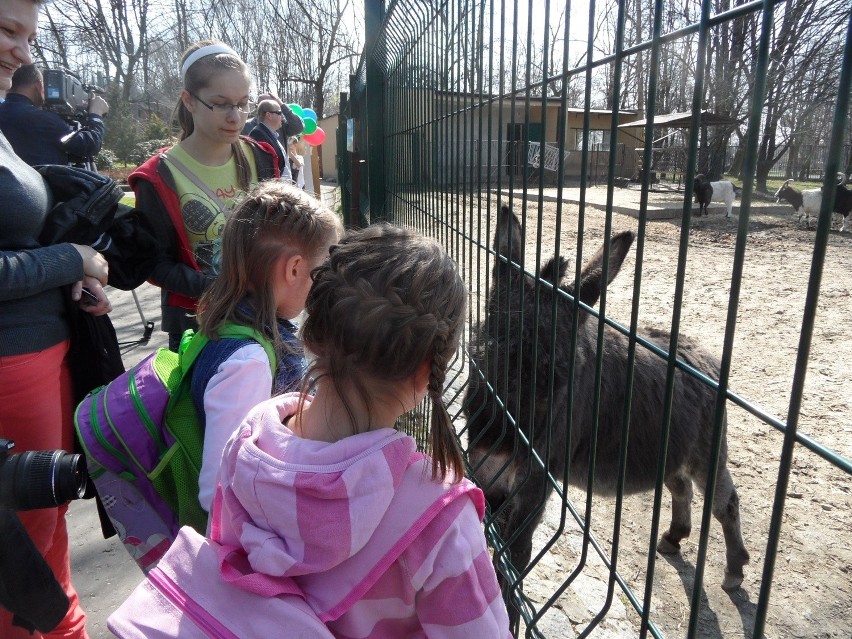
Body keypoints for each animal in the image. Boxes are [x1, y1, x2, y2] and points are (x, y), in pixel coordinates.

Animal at [462, 204, 748, 624]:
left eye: (562, 380)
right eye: (481, 355)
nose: (496, 449)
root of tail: (703, 356)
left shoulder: (535, 480)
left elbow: (515, 554)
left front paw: (509, 612)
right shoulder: (487, 474)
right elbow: (488, 534)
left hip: (707, 452)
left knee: (724, 502)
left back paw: (734, 568)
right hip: (671, 451)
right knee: (680, 486)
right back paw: (674, 536)